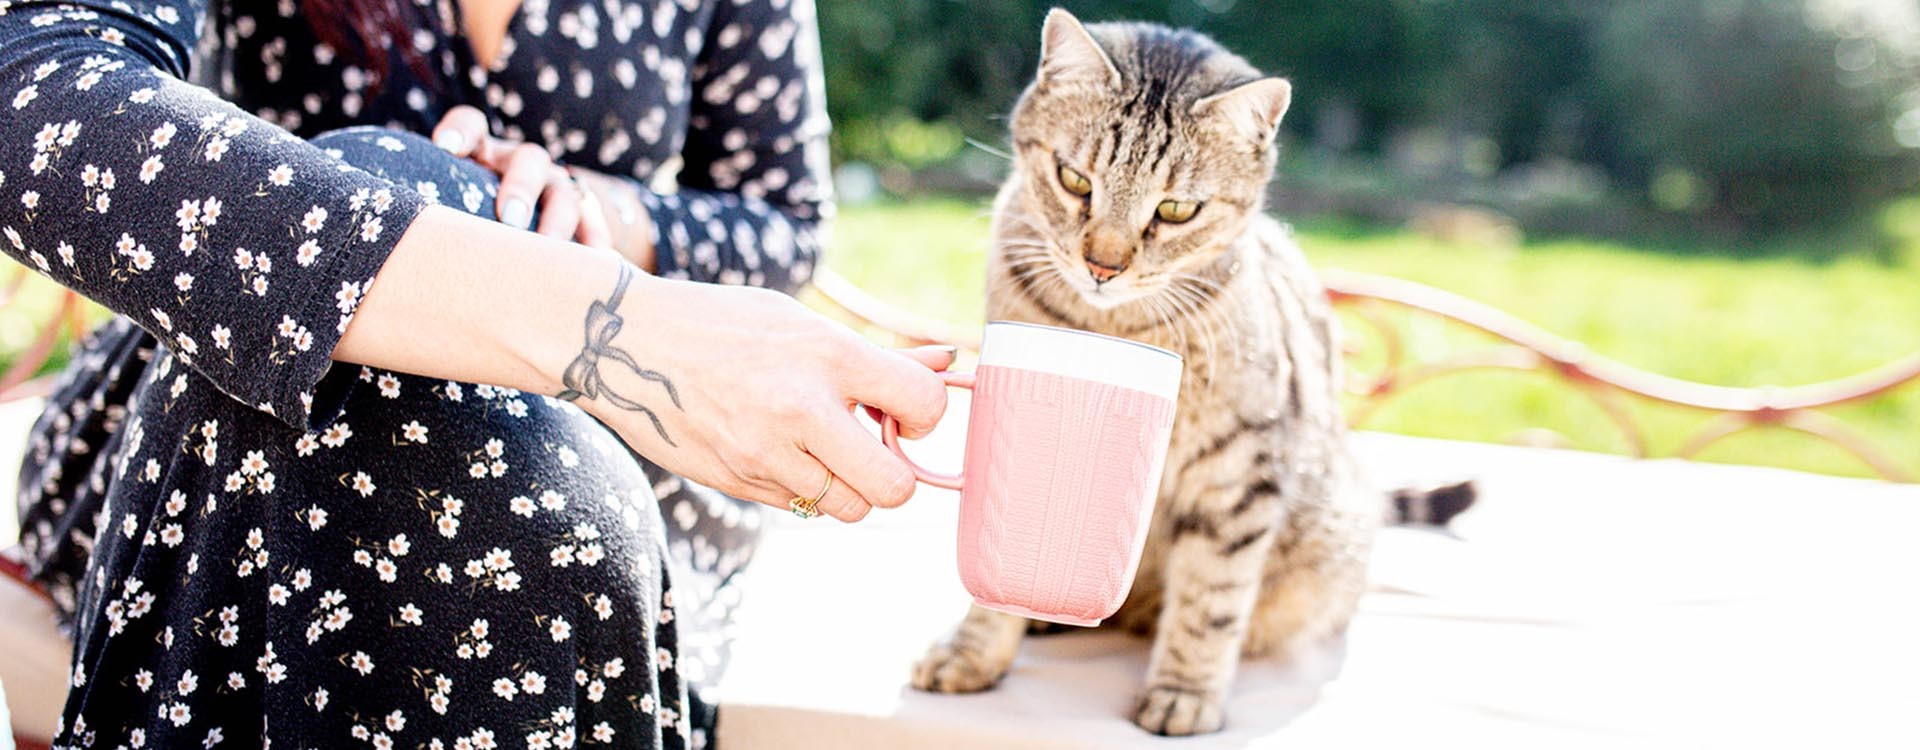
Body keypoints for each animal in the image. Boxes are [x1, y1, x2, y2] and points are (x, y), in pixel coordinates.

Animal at [902, 8, 1428, 736]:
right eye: (1074, 179)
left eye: (1176, 211)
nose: (1103, 265)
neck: (1109, 333)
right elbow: (993, 574)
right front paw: (976, 652)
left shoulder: (1239, 474)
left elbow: (1211, 597)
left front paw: (1186, 691)